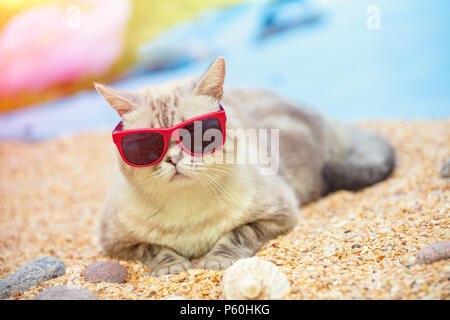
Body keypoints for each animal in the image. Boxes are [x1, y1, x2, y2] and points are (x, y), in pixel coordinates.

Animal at [95, 57, 394, 276]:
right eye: (145, 146)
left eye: (199, 135)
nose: (173, 158)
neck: (187, 210)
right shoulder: (115, 243)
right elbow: (153, 248)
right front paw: (174, 266)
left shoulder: (277, 215)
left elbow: (237, 234)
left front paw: (215, 261)